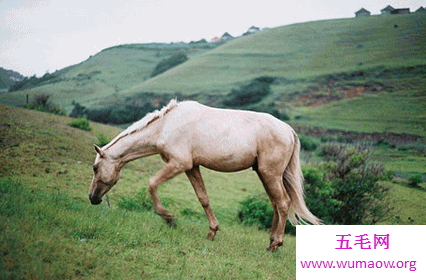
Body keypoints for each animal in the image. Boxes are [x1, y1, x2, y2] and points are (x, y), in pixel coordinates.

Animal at [89, 100, 320, 252]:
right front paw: (212, 232)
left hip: (270, 174)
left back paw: (276, 244)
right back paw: (270, 241)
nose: (92, 198)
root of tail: (289, 130)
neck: (166, 125)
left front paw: (169, 219)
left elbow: (152, 184)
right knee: (276, 204)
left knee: (283, 203)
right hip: (265, 174)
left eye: (95, 168)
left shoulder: (178, 164)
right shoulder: (191, 167)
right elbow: (203, 198)